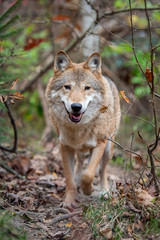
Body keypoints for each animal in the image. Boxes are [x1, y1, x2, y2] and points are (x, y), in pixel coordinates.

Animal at [45, 51, 120, 208]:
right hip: (79, 150)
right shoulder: (65, 146)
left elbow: (89, 174)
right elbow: (69, 178)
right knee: (80, 162)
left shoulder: (100, 144)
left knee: (102, 170)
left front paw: (88, 190)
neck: (78, 128)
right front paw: (68, 201)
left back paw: (104, 192)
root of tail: (108, 79)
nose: (76, 106)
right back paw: (77, 180)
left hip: (108, 149)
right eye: (67, 87)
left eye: (87, 88)